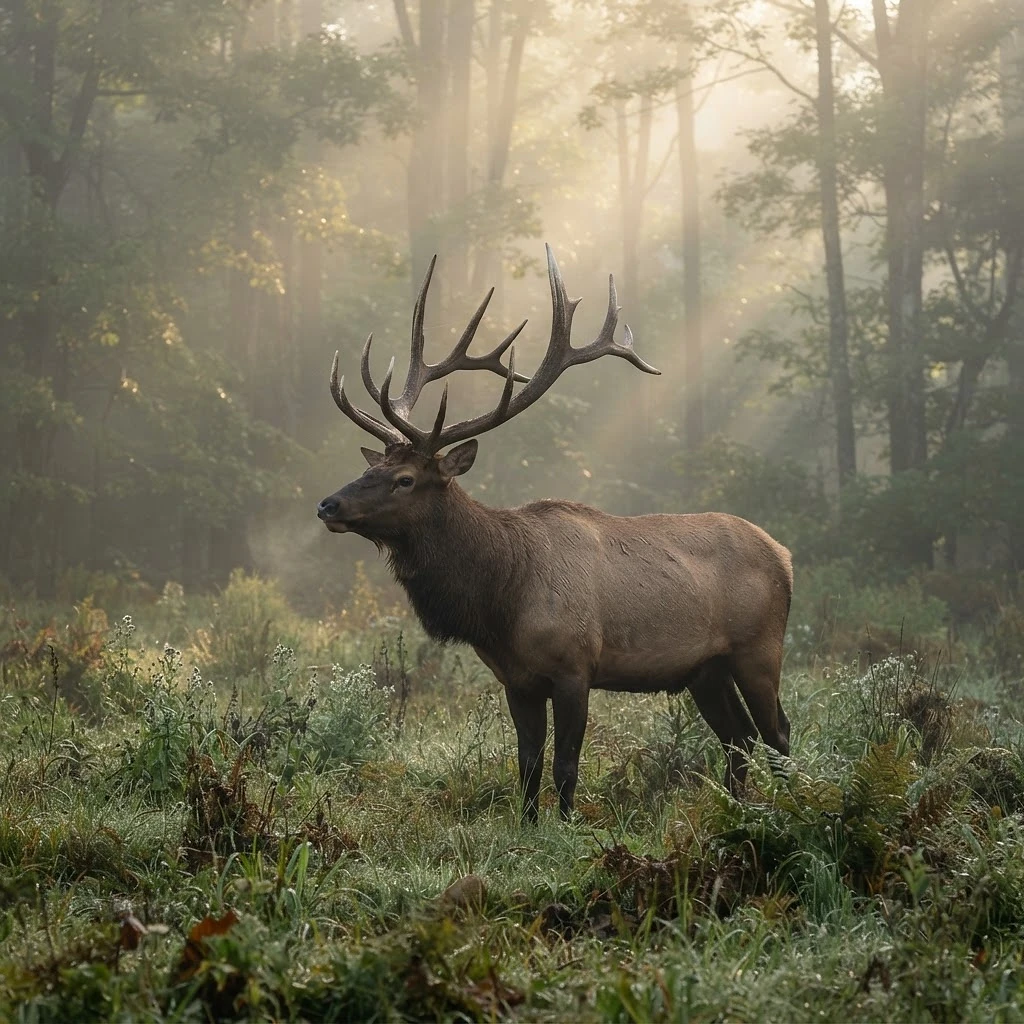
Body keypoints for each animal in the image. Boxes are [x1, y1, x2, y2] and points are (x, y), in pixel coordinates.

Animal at [318, 245, 793, 821]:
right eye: (372, 466)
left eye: (405, 478)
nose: (327, 504)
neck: (500, 601)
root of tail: (785, 556)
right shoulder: (517, 680)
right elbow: (526, 766)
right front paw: (527, 827)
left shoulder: (575, 666)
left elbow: (566, 766)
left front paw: (564, 828)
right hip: (706, 669)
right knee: (739, 738)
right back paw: (741, 810)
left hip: (759, 647)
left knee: (777, 733)